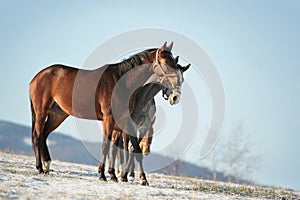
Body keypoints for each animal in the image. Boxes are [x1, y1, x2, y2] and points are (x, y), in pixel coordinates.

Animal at [29, 41, 189, 184]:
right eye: (166, 62)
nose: (176, 97)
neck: (122, 82)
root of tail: (37, 77)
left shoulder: (125, 121)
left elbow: (131, 148)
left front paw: (137, 178)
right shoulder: (109, 119)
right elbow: (106, 146)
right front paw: (103, 175)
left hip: (57, 115)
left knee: (44, 135)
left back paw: (47, 165)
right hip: (41, 111)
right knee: (37, 136)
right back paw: (40, 168)